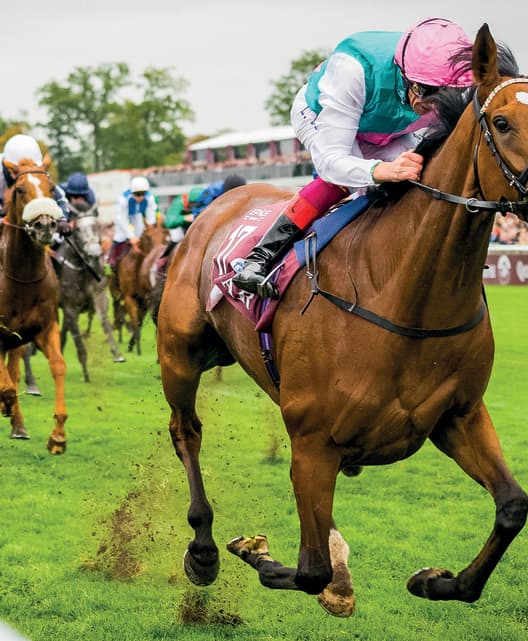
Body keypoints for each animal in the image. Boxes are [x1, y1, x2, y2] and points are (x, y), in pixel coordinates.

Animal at [56, 201, 125, 380]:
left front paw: (117, 353)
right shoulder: (70, 308)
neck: (82, 268)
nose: (94, 254)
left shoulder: (99, 296)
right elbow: (78, 339)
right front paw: (86, 372)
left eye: (98, 226)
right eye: (78, 229)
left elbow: (104, 322)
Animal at [157, 23, 528, 616]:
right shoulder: (312, 442)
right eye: (502, 121)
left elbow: (513, 506)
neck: (404, 294)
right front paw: (258, 552)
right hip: (180, 352)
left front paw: (436, 580)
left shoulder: (460, 417)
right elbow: (311, 571)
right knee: (186, 431)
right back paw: (204, 548)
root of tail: (224, 196)